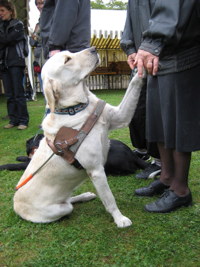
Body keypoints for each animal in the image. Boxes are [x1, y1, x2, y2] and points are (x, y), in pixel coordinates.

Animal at [0, 136, 148, 176]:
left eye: (30, 141)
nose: (27, 142)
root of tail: (131, 153)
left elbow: (16, 165)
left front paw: (3, 166)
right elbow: (24, 159)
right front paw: (20, 157)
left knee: (131, 170)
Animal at [14, 47, 145, 227]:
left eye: (69, 52)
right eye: (67, 60)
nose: (93, 49)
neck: (78, 108)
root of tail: (15, 204)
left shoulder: (120, 116)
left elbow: (133, 84)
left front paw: (142, 63)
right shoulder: (96, 171)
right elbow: (110, 199)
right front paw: (119, 219)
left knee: (69, 199)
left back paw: (85, 196)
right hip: (60, 209)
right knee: (68, 204)